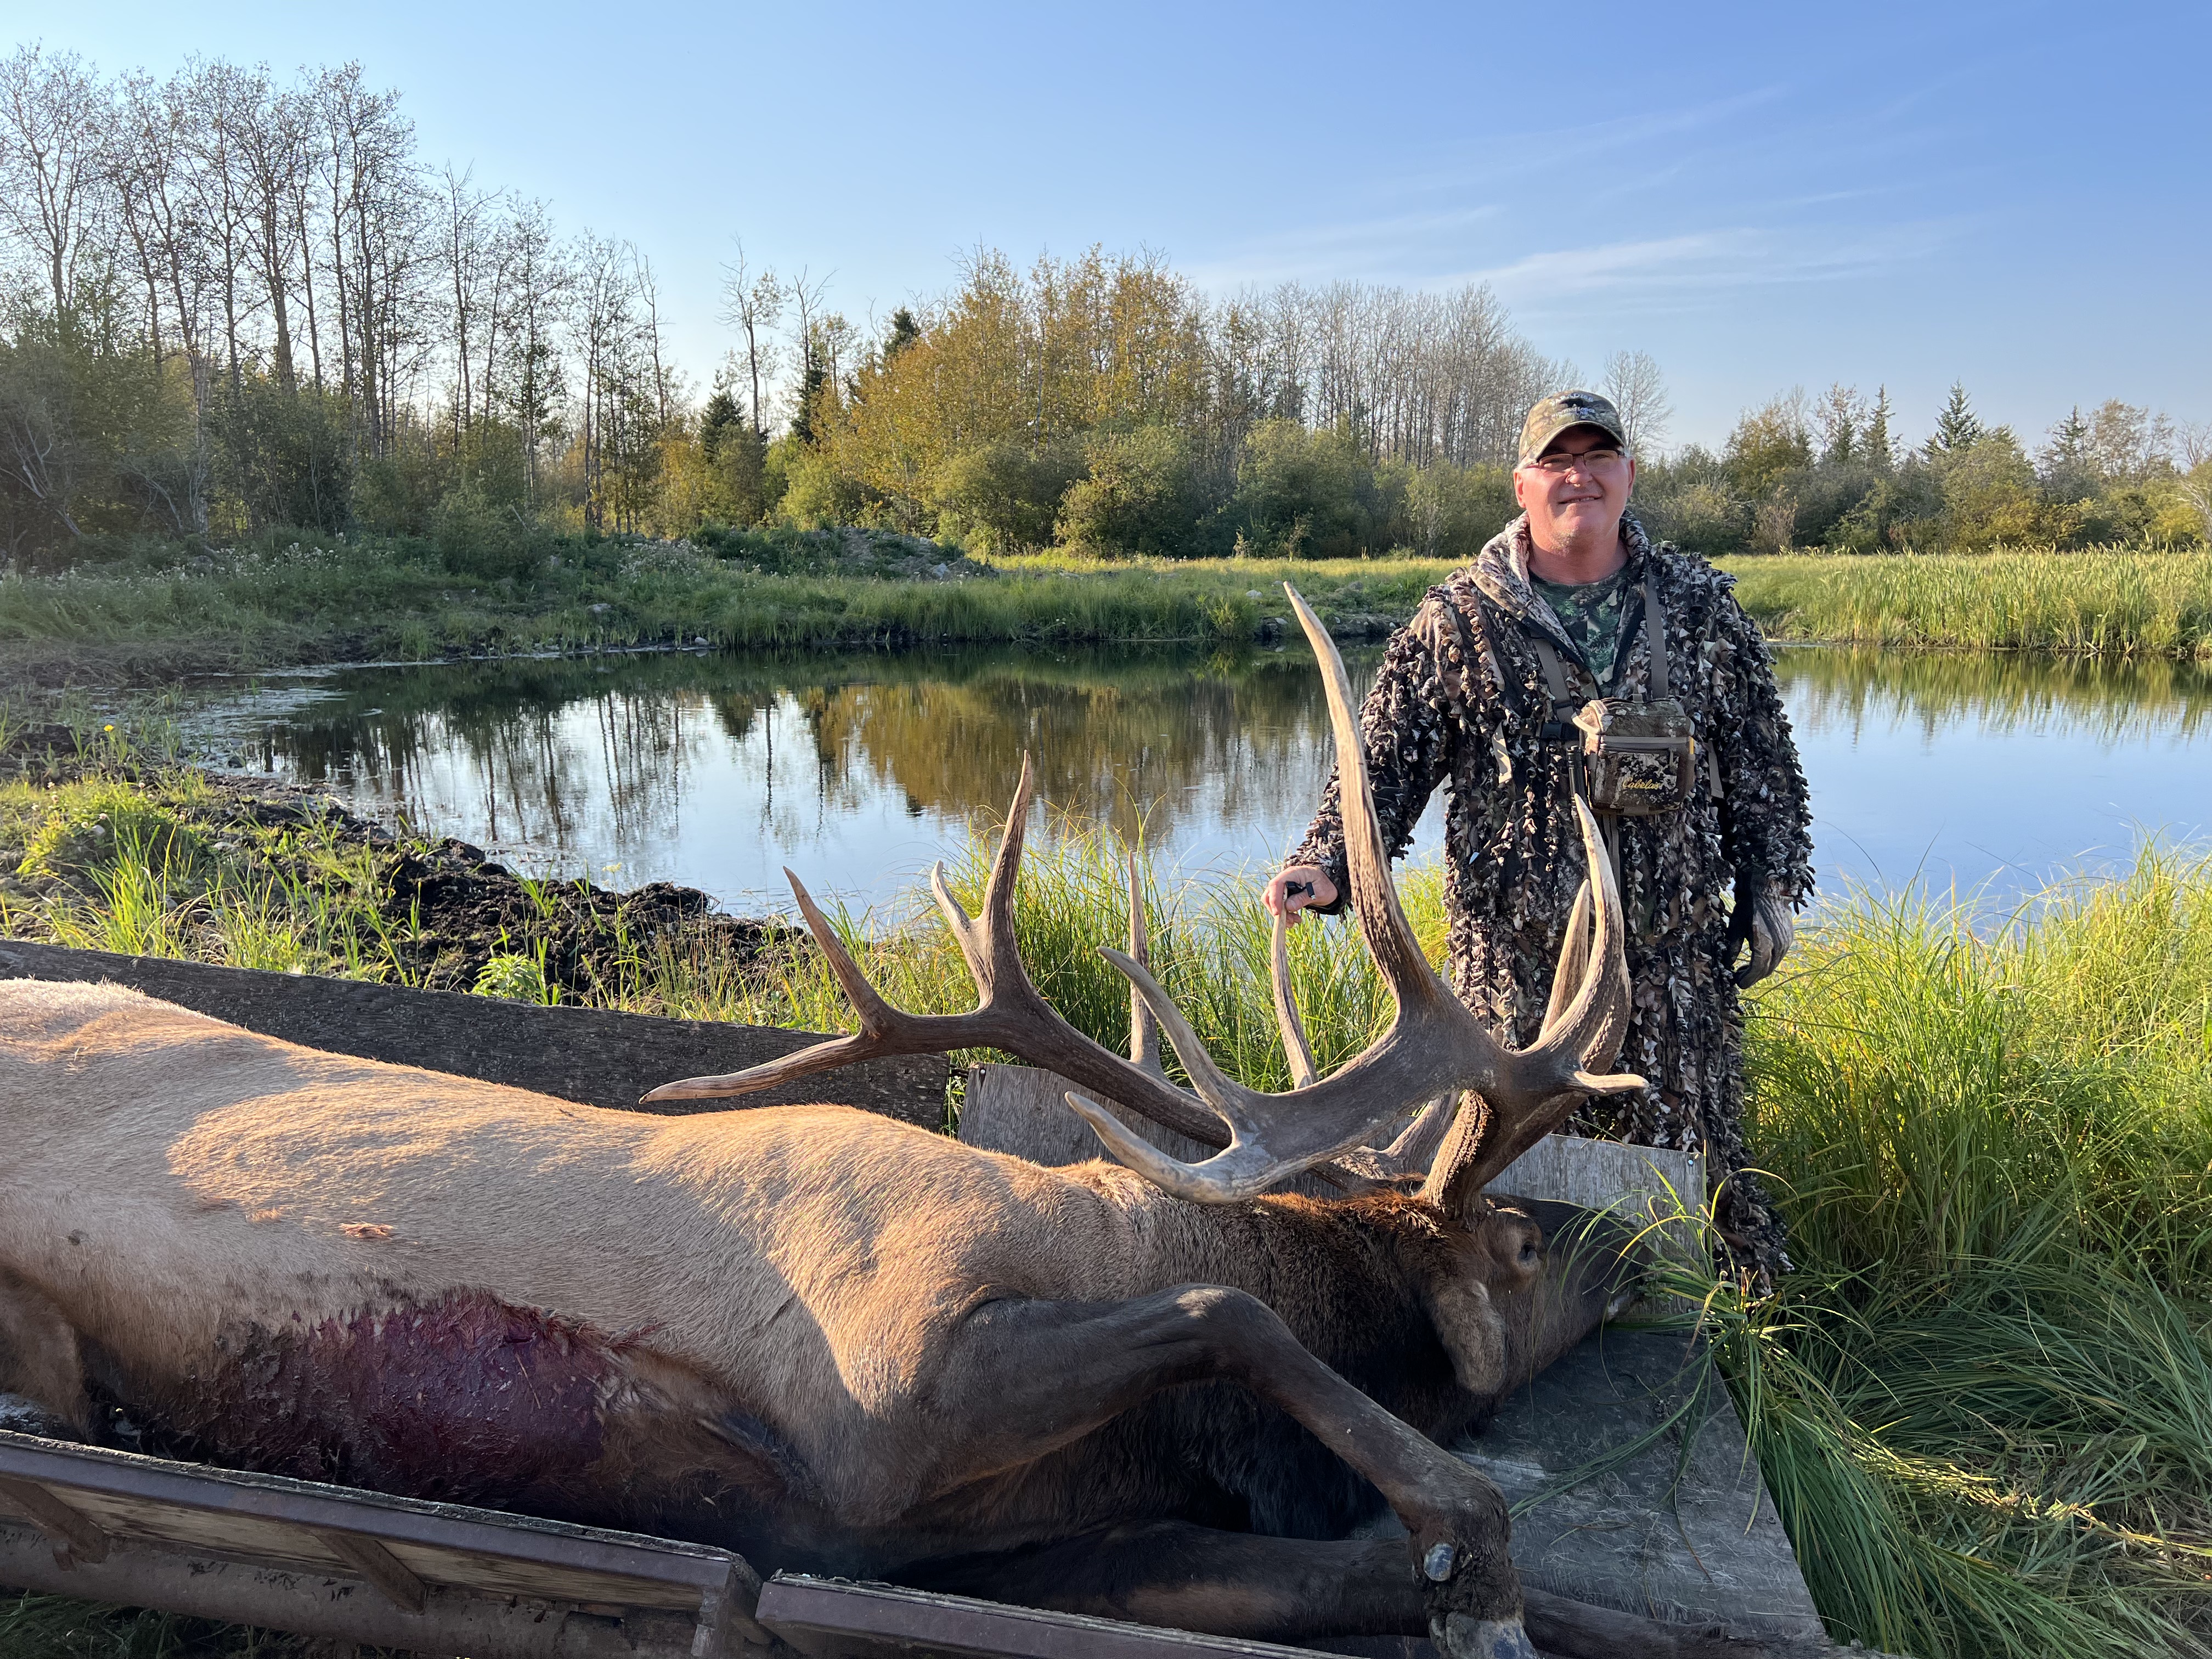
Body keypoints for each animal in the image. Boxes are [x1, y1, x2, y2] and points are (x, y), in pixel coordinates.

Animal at [0, 590, 1670, 1659]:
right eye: (1521, 1243)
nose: (1639, 1251)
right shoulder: (889, 1381)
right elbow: (1235, 1322)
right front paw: (1480, 1564)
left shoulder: (998, 1534)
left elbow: (1333, 1573)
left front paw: (1473, 1585)